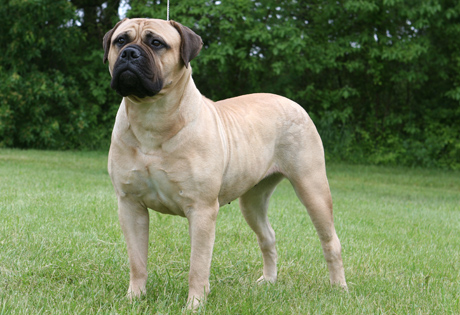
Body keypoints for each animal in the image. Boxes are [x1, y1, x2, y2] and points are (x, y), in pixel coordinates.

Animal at [102, 17, 346, 312]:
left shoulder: (202, 210)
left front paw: (194, 305)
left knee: (330, 241)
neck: (152, 116)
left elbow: (198, 265)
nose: (129, 54)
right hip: (252, 202)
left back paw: (339, 288)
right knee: (268, 236)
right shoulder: (130, 205)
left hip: (312, 188)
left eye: (156, 43)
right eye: (120, 41)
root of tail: (292, 103)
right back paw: (269, 280)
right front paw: (134, 298)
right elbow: (137, 261)